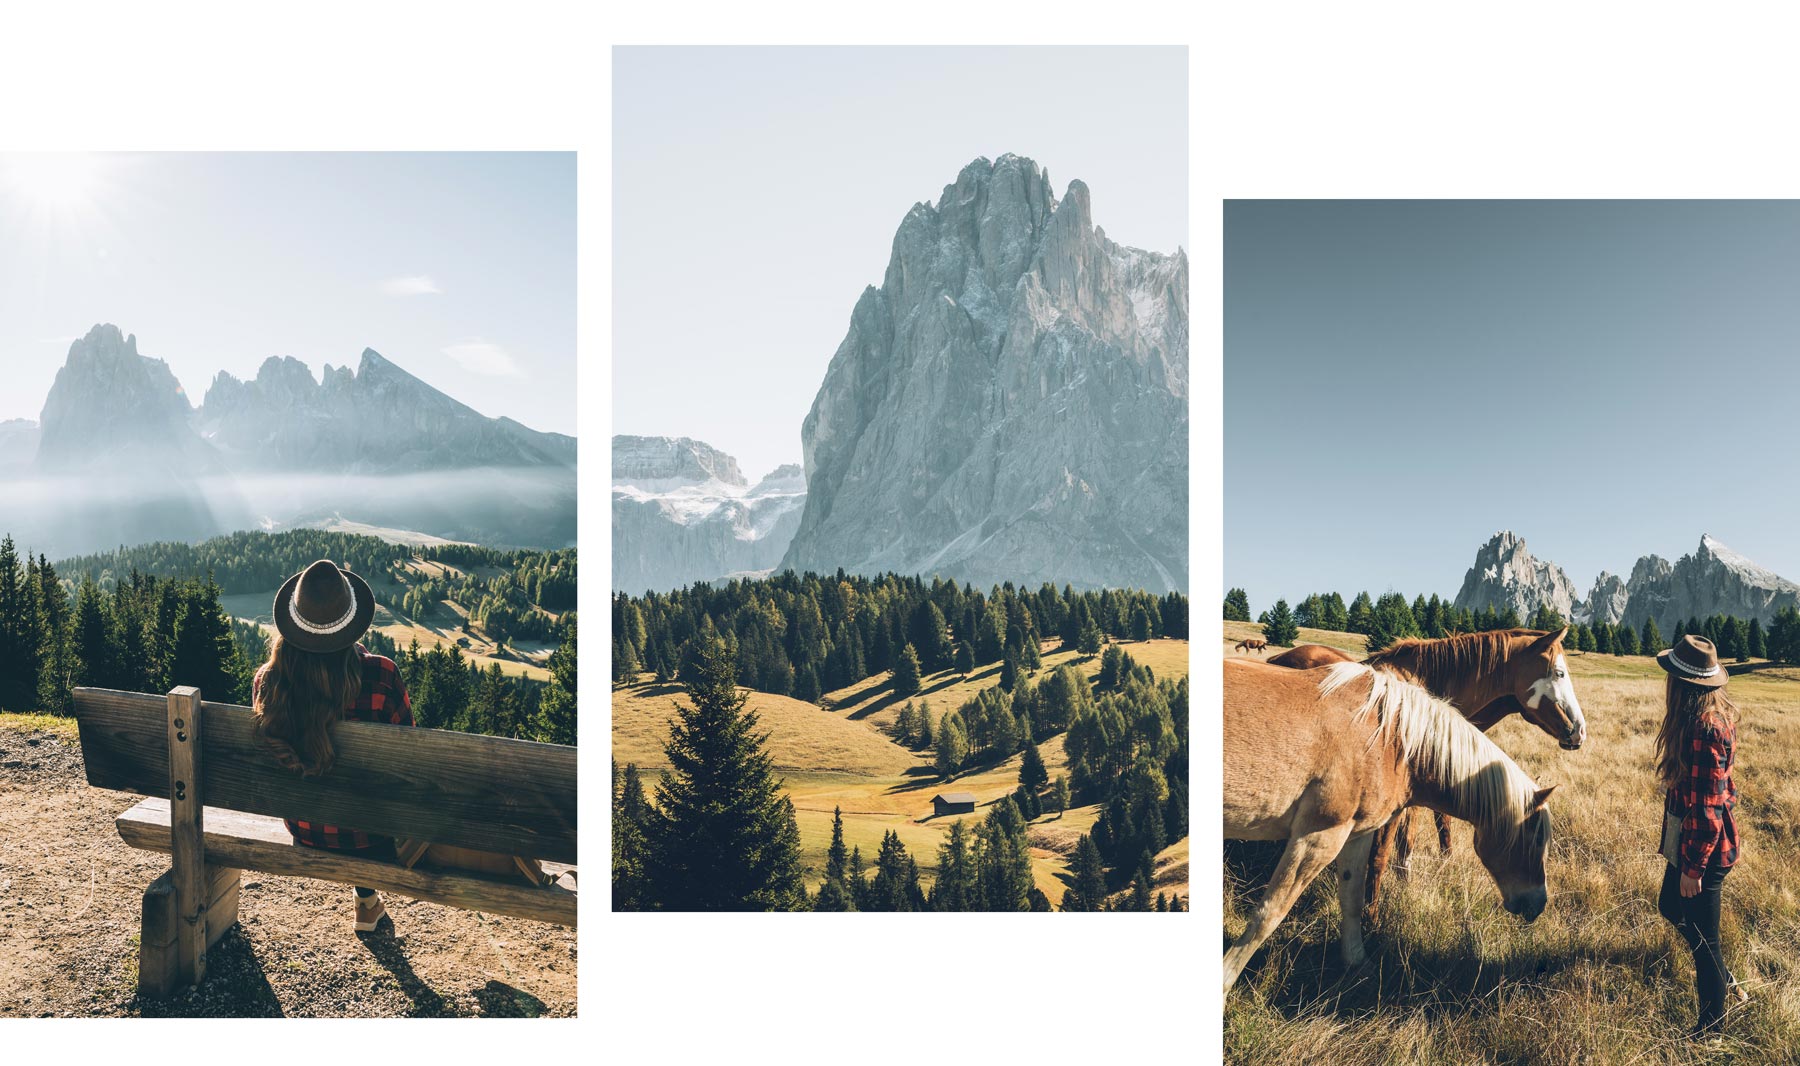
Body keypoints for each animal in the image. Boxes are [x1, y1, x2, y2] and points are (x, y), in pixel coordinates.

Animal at [1224, 662, 1562, 993]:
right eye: (1535, 841)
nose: (1538, 904)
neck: (1389, 740)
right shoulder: (1318, 837)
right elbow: (1269, 914)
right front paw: (1225, 983)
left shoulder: (1355, 835)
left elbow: (1352, 898)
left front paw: (1357, 960)